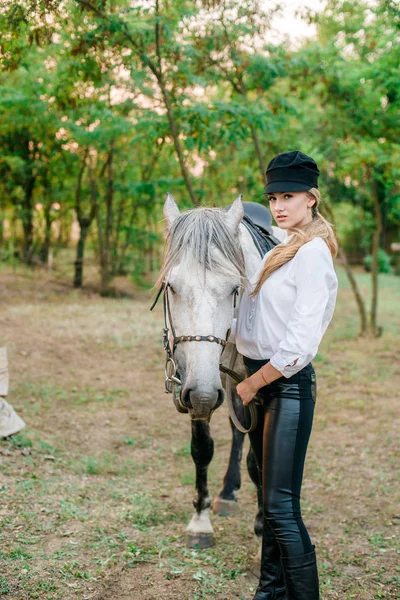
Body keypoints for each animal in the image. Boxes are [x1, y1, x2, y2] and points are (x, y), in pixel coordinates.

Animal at [159, 192, 276, 548]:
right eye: (171, 286)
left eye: (235, 288)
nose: (203, 394)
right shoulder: (197, 386)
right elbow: (202, 449)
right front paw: (200, 520)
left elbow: (259, 460)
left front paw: (263, 527)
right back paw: (227, 493)